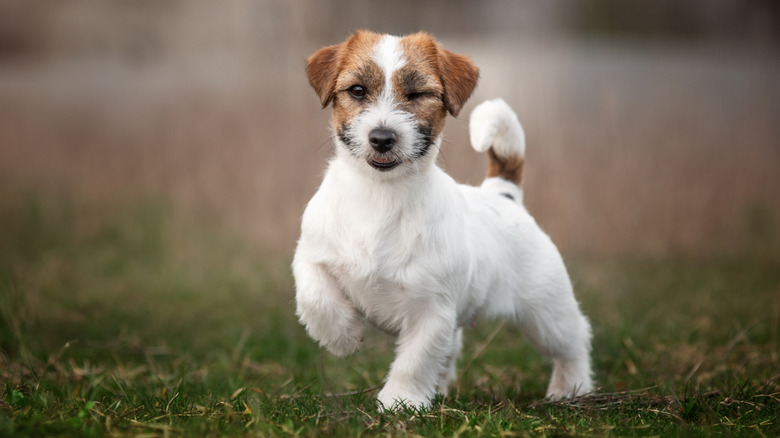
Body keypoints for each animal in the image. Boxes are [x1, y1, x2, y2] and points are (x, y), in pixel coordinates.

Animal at [292, 30, 592, 410]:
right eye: (357, 90)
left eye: (417, 94)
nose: (382, 138)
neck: (380, 195)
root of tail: (503, 194)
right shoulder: (310, 256)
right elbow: (315, 298)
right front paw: (343, 337)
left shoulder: (431, 311)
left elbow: (415, 360)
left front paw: (400, 402)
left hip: (546, 314)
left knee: (575, 339)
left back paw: (571, 388)